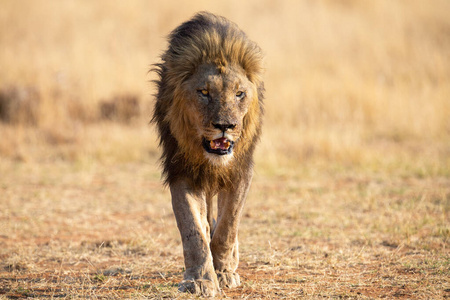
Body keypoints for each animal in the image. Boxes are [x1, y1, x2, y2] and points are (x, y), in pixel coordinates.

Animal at [151, 11, 264, 296]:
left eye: (239, 94)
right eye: (203, 92)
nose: (225, 125)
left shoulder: (241, 171)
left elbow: (227, 226)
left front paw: (223, 273)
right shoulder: (181, 170)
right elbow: (192, 229)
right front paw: (200, 280)